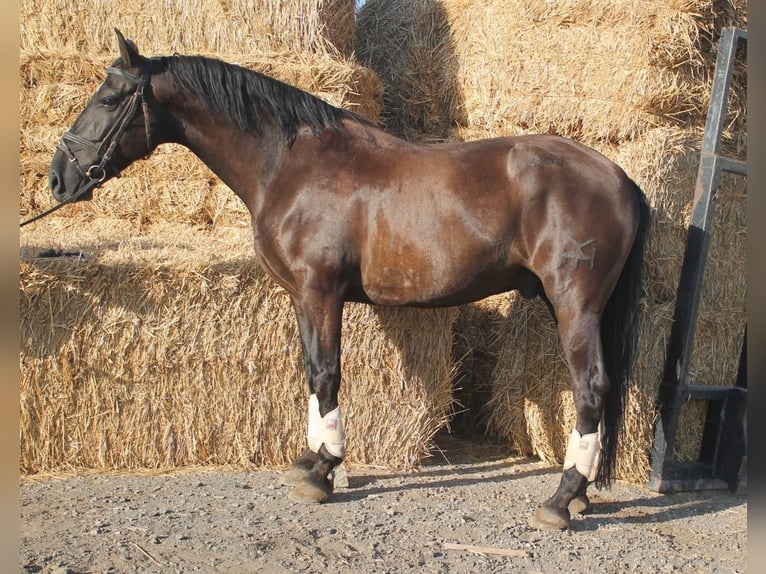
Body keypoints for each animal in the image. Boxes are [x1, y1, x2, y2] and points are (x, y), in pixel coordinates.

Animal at [46, 30, 648, 532]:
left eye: (108, 99)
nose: (58, 177)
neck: (294, 165)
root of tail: (619, 177)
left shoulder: (321, 291)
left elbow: (326, 372)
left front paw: (323, 471)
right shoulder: (301, 297)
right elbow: (312, 374)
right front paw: (311, 459)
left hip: (575, 306)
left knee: (591, 389)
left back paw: (561, 499)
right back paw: (579, 494)